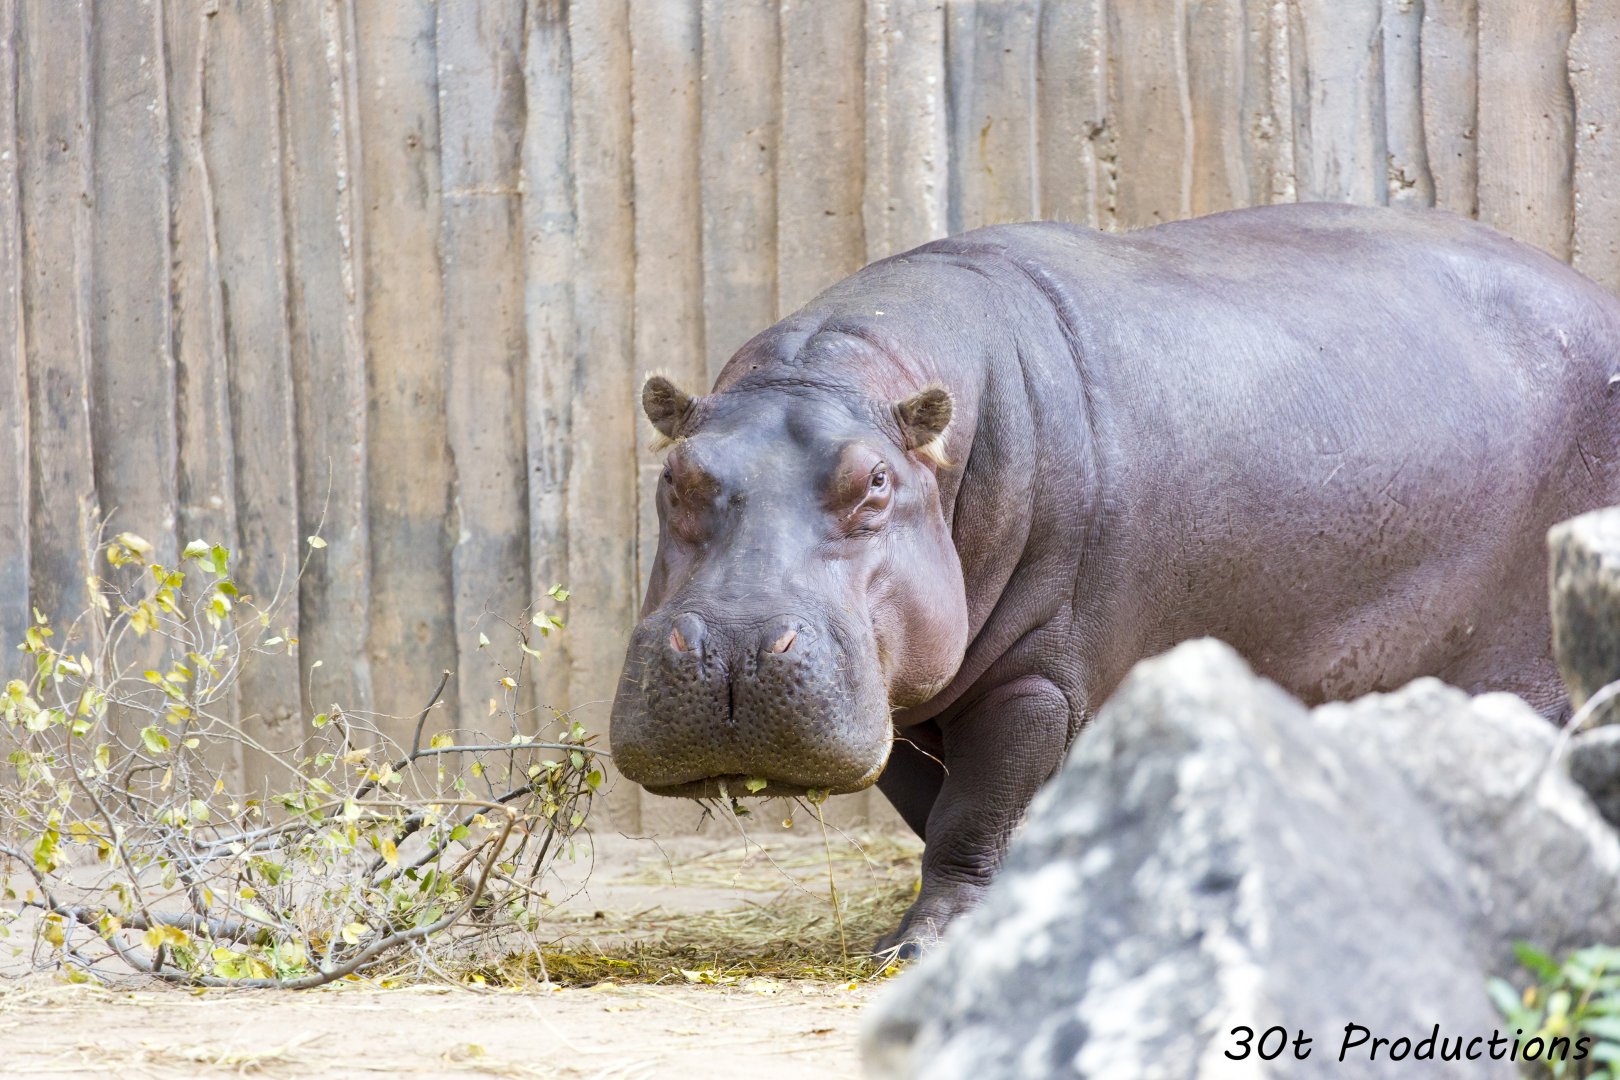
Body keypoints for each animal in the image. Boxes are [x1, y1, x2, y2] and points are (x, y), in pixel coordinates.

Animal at [610, 202, 1620, 953]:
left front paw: (923, 945)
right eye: (675, 475)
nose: (736, 648)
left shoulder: (1037, 680)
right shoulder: (906, 702)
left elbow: (971, 816)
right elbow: (936, 810)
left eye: (875, 485)